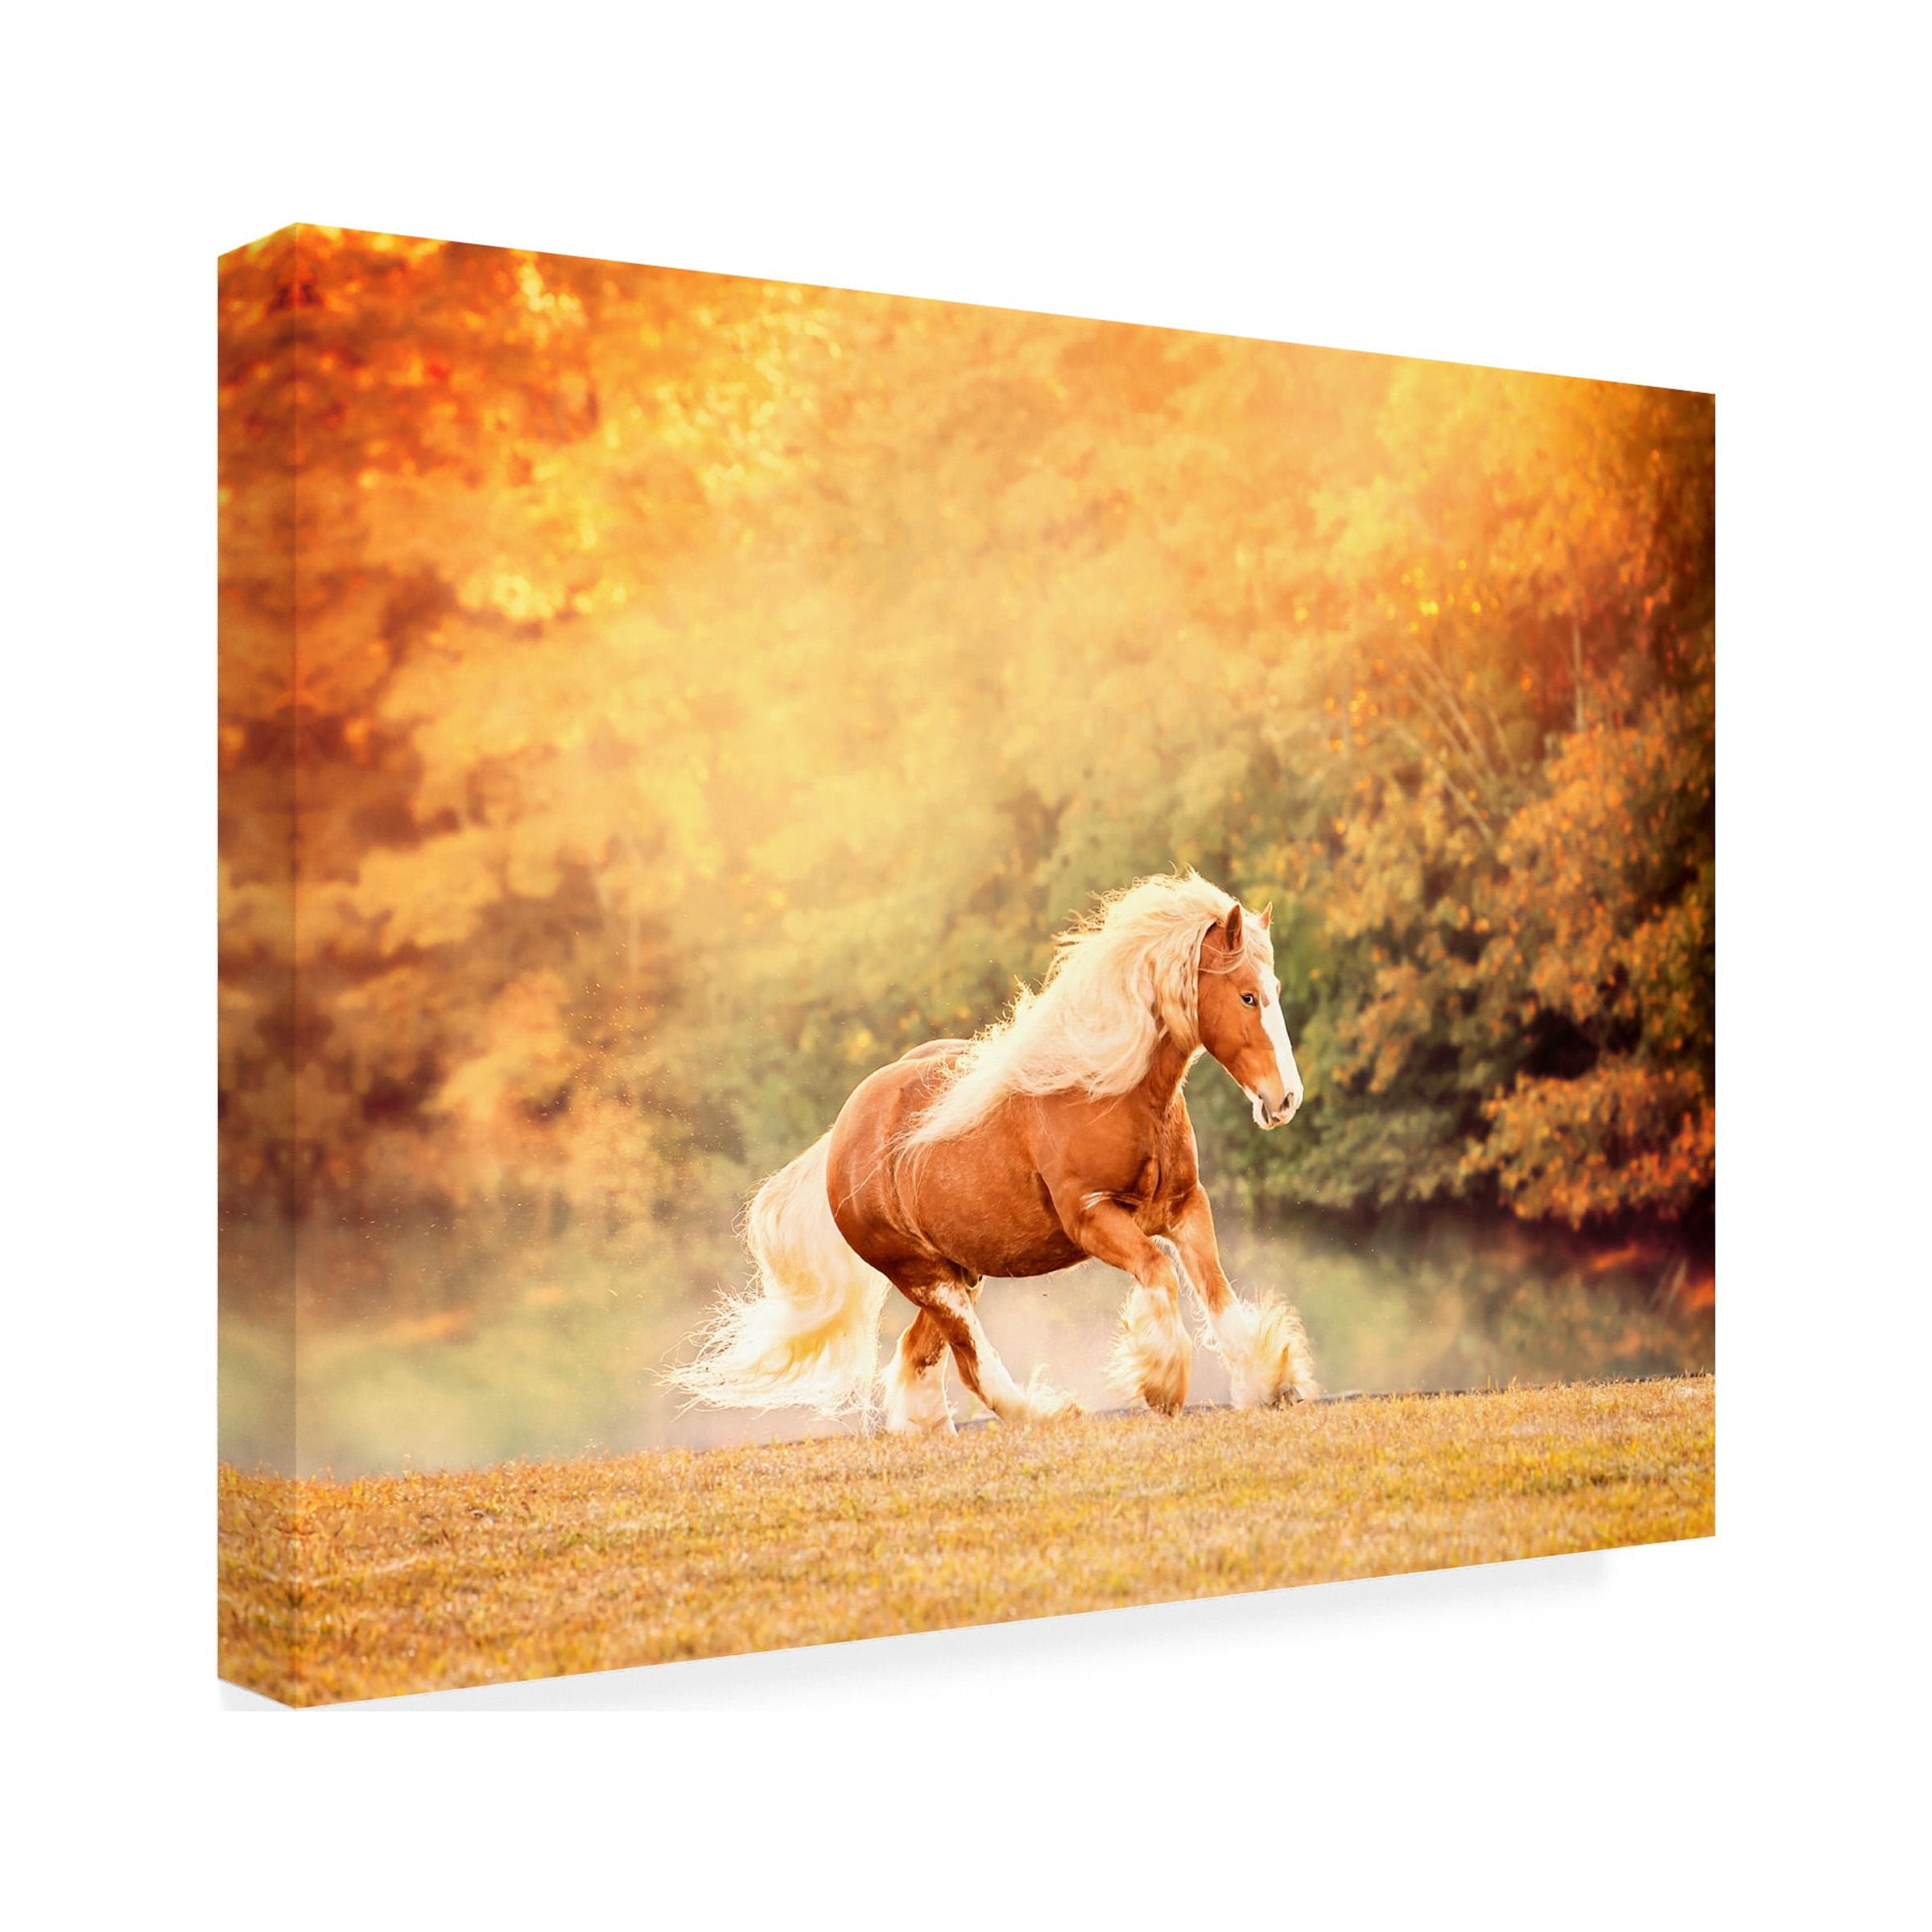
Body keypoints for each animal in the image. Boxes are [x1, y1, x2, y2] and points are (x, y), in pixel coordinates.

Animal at [666, 871, 1319, 1433]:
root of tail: (841, 1138)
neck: (1108, 1090)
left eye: (1274, 991)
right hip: (927, 1278)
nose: (1285, 1099)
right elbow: (1160, 1276)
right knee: (972, 1365)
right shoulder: (1093, 1219)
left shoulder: (1185, 1208)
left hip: (958, 1273)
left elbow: (1220, 1296)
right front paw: (1161, 1387)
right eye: (1247, 997)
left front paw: (1272, 1386)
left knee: (916, 1355)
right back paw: (1049, 1415)